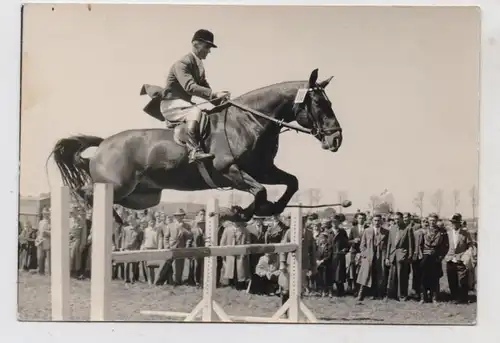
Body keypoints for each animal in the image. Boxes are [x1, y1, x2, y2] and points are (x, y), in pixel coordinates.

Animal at [51, 69, 344, 223]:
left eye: (329, 103)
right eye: (320, 104)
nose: (336, 139)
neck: (248, 121)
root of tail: (104, 144)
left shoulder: (262, 169)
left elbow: (291, 182)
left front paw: (271, 209)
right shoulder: (229, 170)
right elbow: (259, 191)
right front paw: (238, 214)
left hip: (142, 195)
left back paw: (116, 221)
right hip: (118, 184)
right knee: (86, 191)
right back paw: (105, 220)